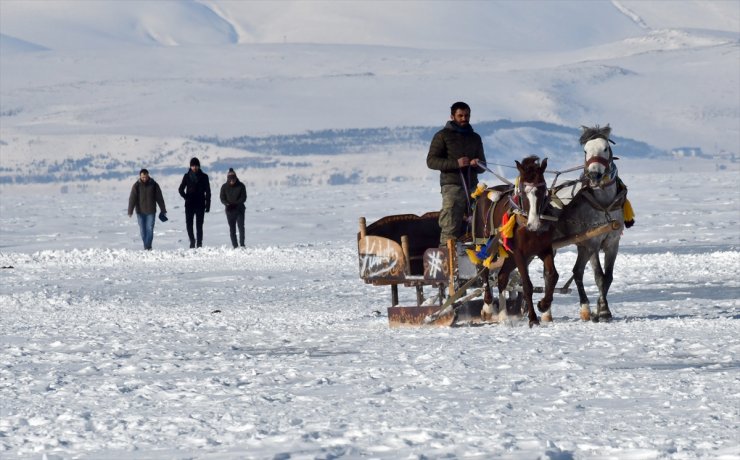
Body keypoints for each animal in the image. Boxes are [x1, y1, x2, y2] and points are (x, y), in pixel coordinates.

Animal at [472, 157, 556, 328]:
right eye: (523, 192)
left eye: (543, 189)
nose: (534, 225)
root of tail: (483, 194)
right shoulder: (519, 253)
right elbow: (527, 285)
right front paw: (533, 318)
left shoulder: (544, 249)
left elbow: (552, 275)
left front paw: (543, 305)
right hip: (484, 244)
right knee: (483, 270)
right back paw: (488, 307)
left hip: (509, 256)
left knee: (502, 277)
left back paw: (503, 315)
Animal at [552, 124, 628, 322]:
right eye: (585, 150)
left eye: (605, 148)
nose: (594, 174)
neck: (604, 204)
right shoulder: (591, 242)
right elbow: (598, 276)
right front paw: (601, 311)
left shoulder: (612, 242)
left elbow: (607, 277)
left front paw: (601, 309)